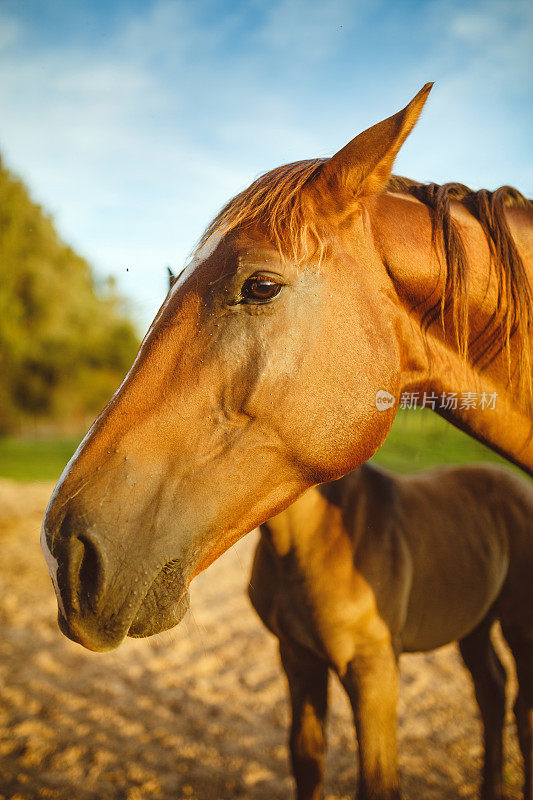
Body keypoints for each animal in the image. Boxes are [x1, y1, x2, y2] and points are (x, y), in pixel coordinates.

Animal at [248, 462, 532, 800]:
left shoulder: (372, 665)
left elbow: (378, 780)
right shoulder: (297, 654)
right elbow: (306, 757)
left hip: (520, 627)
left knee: (524, 712)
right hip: (475, 621)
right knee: (492, 690)